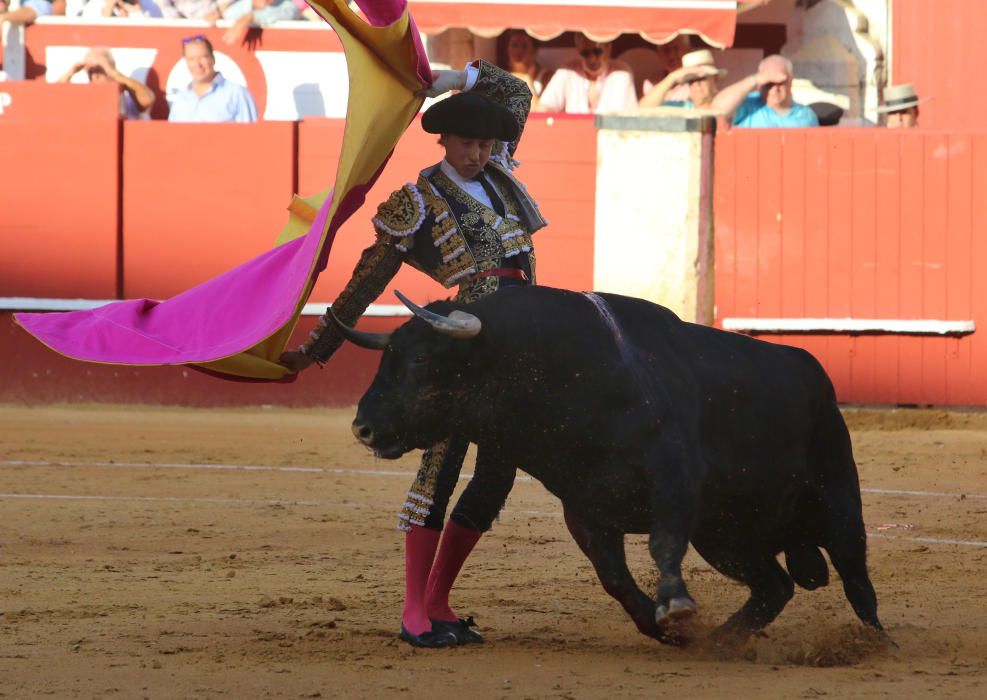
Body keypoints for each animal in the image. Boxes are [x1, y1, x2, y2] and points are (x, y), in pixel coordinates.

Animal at [338, 288, 880, 644]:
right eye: (386, 359)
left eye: (420, 362)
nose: (363, 428)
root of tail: (815, 373)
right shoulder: (585, 509)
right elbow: (614, 577)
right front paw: (660, 626)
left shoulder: (675, 480)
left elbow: (663, 543)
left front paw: (675, 605)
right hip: (726, 536)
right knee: (775, 586)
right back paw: (723, 639)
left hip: (837, 498)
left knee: (856, 579)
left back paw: (879, 644)